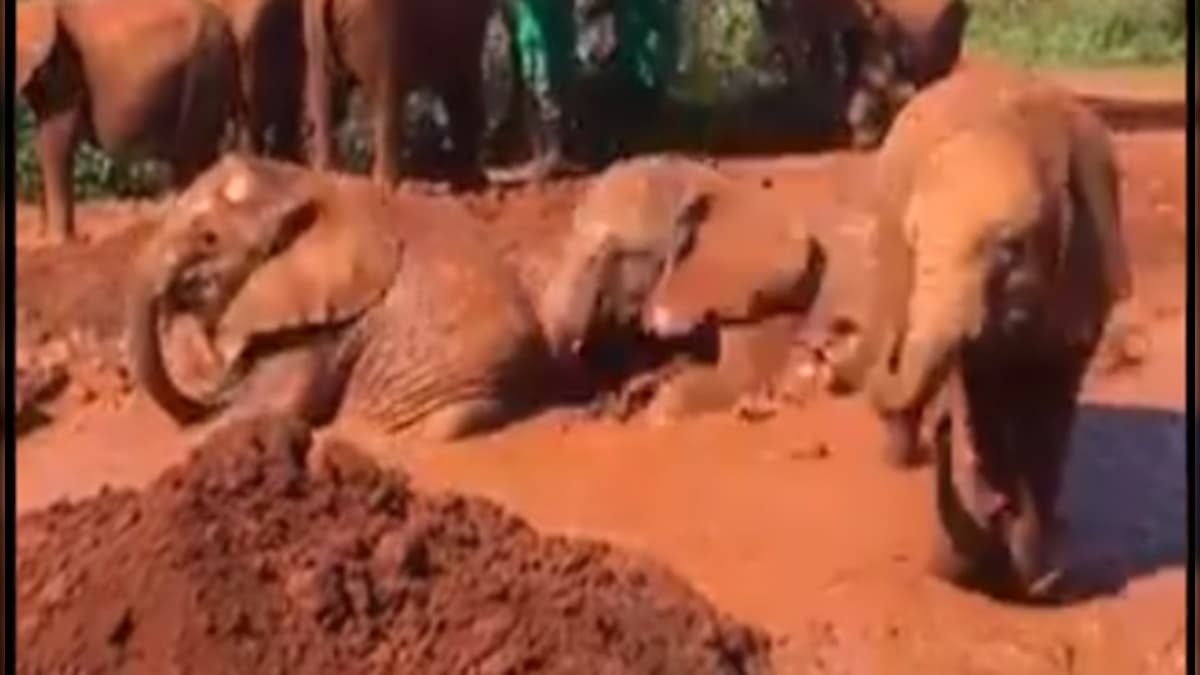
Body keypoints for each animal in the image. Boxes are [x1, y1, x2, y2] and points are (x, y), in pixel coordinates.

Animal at [15, 0, 243, 239]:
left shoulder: (64, 65)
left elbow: (52, 142)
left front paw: (57, 241)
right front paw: (44, 237)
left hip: (205, 74)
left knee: (196, 154)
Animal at [304, 0, 501, 183]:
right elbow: (463, 85)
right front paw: (473, 178)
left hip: (318, 30)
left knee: (324, 90)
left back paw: (330, 172)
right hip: (378, 24)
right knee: (386, 93)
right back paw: (387, 182)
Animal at [830, 61, 1128, 598]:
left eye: (1010, 248)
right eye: (916, 239)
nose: (944, 429)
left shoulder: (1086, 267)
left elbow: (1053, 396)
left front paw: (1037, 566)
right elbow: (982, 389)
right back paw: (902, 457)